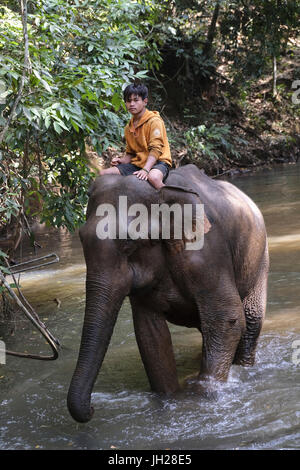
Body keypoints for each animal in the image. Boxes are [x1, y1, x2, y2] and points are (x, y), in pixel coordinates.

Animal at [67, 164, 268, 422]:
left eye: (128, 243)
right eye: (82, 238)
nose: (92, 409)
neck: (161, 193)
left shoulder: (208, 253)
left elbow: (227, 318)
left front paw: (201, 396)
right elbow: (150, 332)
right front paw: (170, 400)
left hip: (259, 257)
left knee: (250, 317)